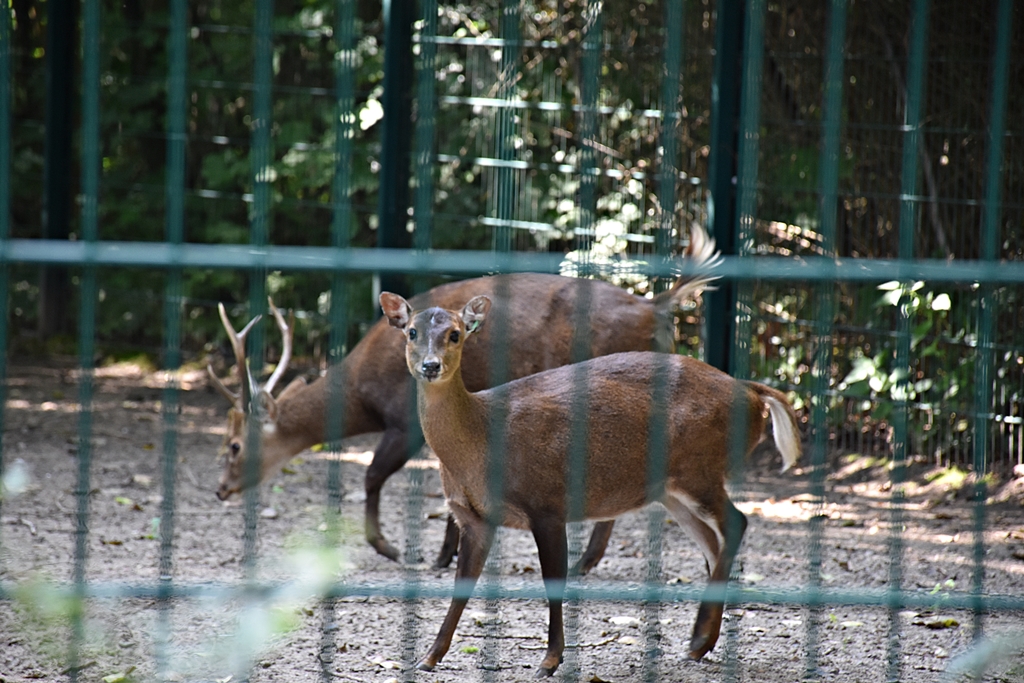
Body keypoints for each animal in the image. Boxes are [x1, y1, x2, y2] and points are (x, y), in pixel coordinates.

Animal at [209, 226, 721, 572]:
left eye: (234, 446)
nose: (221, 489)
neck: (361, 395)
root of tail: (657, 308)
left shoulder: (403, 421)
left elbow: (372, 477)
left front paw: (392, 548)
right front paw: (443, 554)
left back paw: (583, 562)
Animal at [378, 292, 800, 676]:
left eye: (455, 333)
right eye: (411, 331)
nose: (430, 365)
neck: (481, 438)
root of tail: (754, 392)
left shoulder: (546, 504)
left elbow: (554, 581)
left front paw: (549, 660)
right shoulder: (473, 518)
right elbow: (460, 586)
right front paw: (428, 657)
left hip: (701, 469)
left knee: (737, 523)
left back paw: (698, 638)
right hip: (672, 489)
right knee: (714, 544)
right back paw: (699, 644)